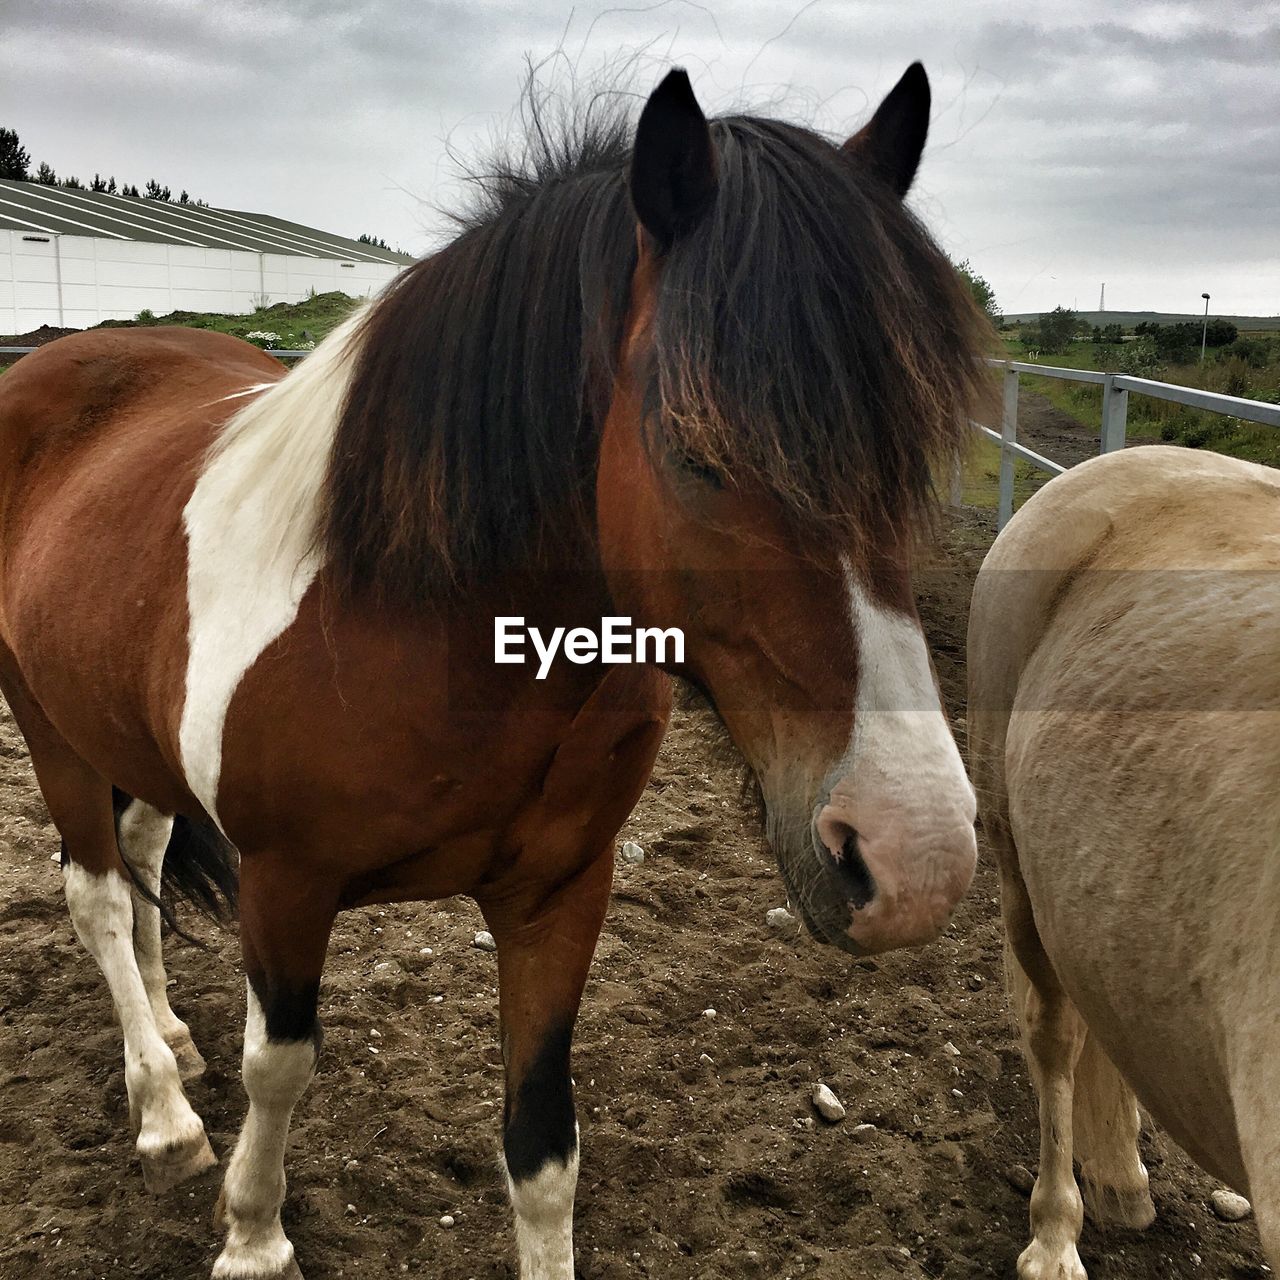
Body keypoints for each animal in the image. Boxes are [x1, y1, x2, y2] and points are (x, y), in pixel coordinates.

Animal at [0, 72, 988, 1280]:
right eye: (695, 448)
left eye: (916, 445)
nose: (916, 858)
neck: (415, 615)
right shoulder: (284, 884)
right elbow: (279, 1064)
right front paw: (253, 1235)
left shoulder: (559, 892)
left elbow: (544, 1143)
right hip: (45, 719)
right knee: (95, 891)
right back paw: (163, 1111)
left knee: (139, 856)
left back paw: (174, 1040)